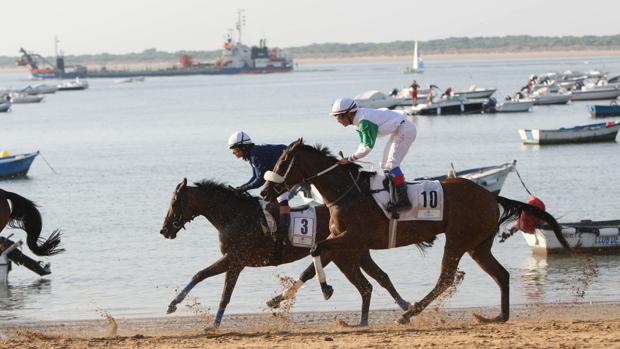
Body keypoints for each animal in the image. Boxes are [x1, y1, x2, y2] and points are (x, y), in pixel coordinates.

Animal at [260, 139, 568, 324]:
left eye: (282, 161)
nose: (264, 191)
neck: (346, 194)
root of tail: (492, 196)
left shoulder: (351, 239)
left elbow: (316, 250)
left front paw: (326, 290)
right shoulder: (345, 242)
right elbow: (313, 263)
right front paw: (277, 299)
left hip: (458, 239)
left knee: (446, 278)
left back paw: (410, 314)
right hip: (477, 244)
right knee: (500, 274)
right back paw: (498, 317)